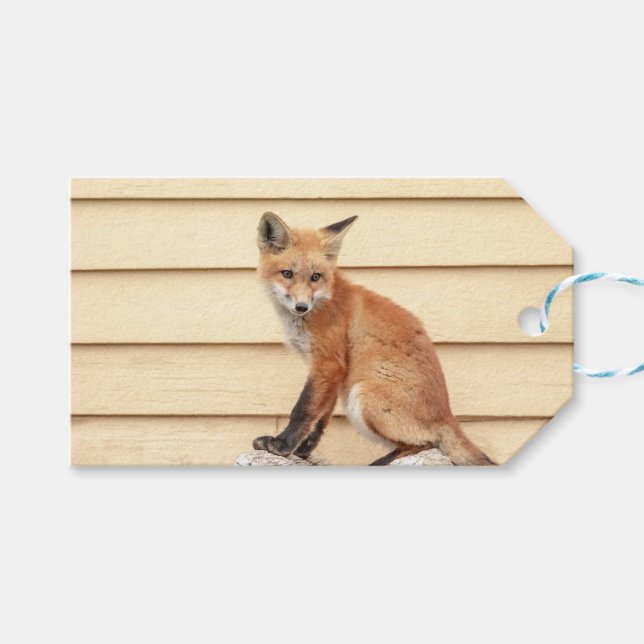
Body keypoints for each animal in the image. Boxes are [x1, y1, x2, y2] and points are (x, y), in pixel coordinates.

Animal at [252, 212, 495, 466]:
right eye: (287, 274)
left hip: (363, 397)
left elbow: (303, 410)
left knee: (426, 443)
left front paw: (280, 446)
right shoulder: (334, 373)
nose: (301, 306)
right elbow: (321, 417)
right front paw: (303, 450)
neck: (322, 301)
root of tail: (447, 415)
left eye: (315, 277)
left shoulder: (328, 363)